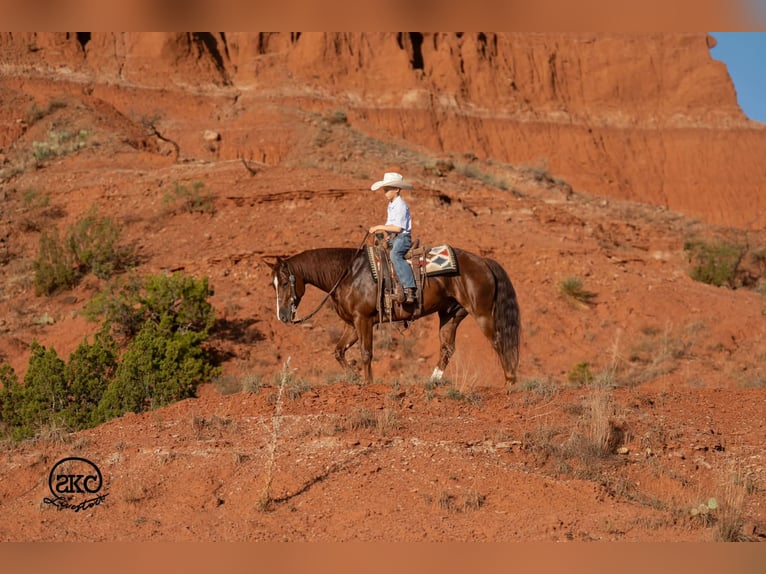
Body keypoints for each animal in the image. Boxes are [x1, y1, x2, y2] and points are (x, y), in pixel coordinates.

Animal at [266, 244, 521, 386]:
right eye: (273, 285)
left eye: (286, 283)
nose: (282, 316)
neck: (348, 274)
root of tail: (483, 261)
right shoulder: (352, 324)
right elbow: (338, 352)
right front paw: (355, 377)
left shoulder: (363, 319)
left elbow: (366, 353)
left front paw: (368, 382)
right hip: (451, 314)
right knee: (447, 348)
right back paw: (431, 382)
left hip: (482, 312)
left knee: (499, 341)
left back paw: (509, 381)